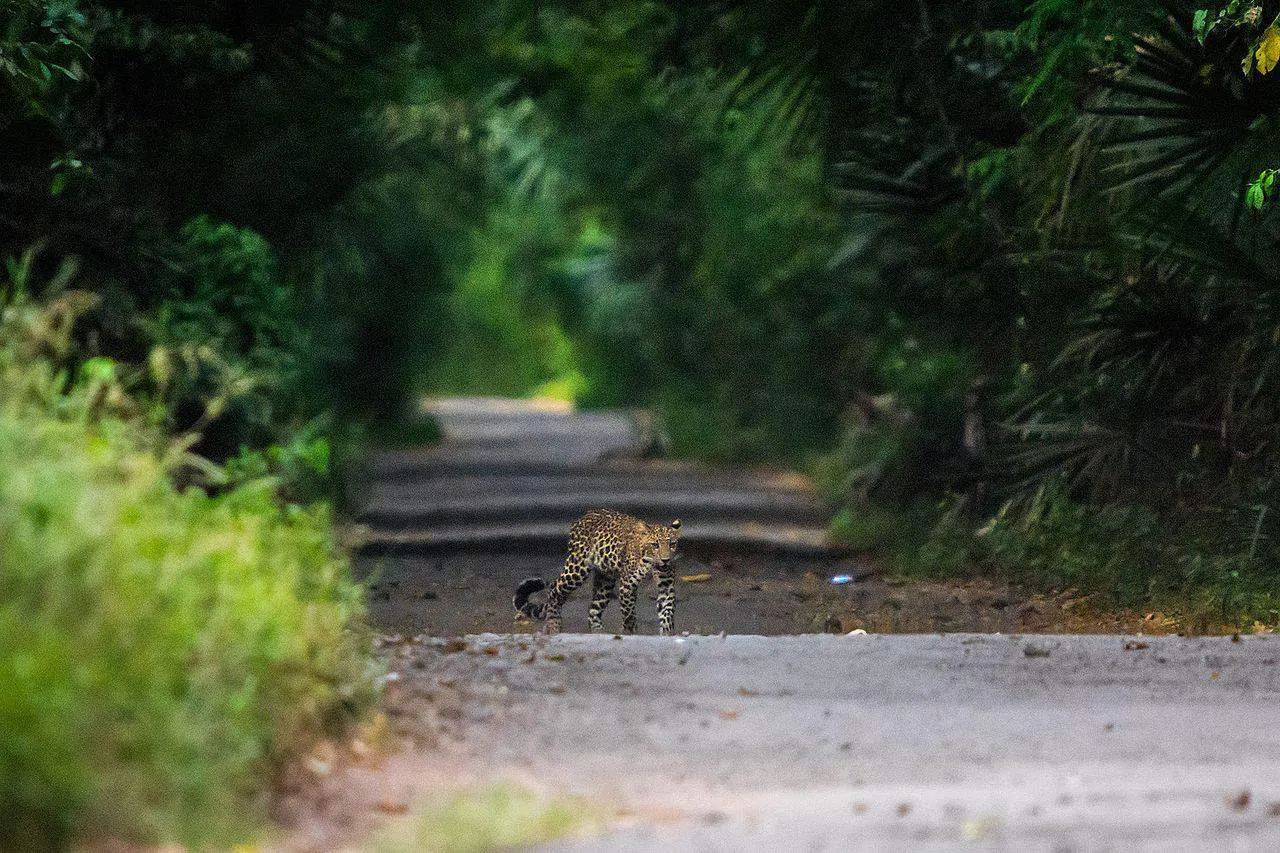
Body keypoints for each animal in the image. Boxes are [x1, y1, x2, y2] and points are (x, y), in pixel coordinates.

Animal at [514, 504, 686, 630]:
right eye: (655, 545)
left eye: (672, 544)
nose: (665, 560)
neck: (651, 562)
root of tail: (584, 516)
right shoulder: (627, 585)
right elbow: (629, 615)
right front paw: (631, 633)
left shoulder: (666, 585)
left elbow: (667, 612)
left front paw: (667, 634)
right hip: (577, 569)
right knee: (555, 588)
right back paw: (553, 623)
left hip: (605, 580)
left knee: (593, 610)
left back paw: (598, 632)